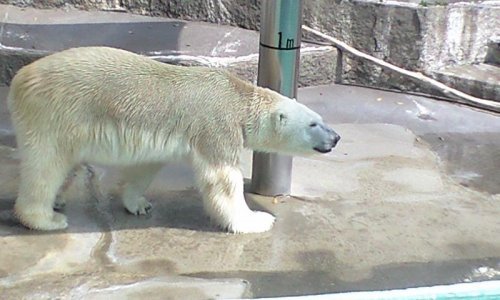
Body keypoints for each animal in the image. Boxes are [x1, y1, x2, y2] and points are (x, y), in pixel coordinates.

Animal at [7, 47, 340, 234]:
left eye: (321, 118)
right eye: (313, 123)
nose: (336, 137)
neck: (237, 98)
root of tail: (20, 78)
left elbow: (145, 167)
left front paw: (138, 203)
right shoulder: (216, 126)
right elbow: (222, 179)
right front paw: (256, 220)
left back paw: (59, 198)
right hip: (54, 113)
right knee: (45, 165)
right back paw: (46, 218)